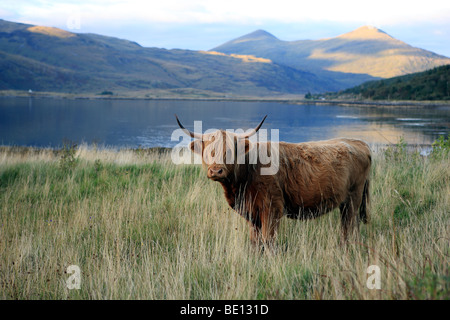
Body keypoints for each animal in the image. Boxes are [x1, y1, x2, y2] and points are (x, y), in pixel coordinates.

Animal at [177, 115, 372, 245]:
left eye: (230, 151)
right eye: (208, 151)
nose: (216, 170)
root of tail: (359, 142)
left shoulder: (272, 208)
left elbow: (268, 241)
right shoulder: (252, 213)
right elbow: (255, 242)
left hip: (353, 198)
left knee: (348, 227)